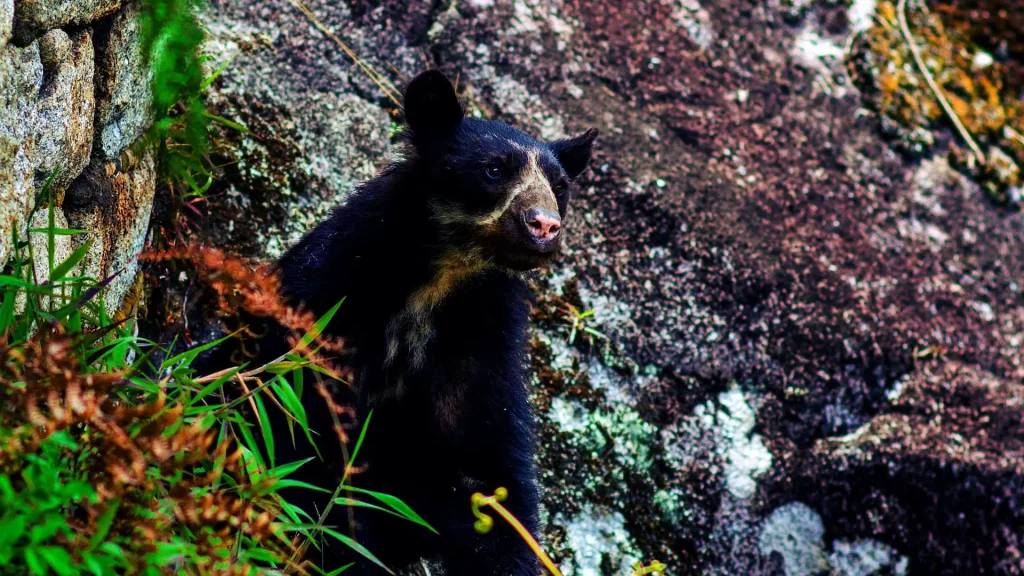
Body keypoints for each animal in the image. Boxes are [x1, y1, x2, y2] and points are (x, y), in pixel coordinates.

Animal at [212, 70, 597, 575]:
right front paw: (343, 547)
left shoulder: (480, 336)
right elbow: (307, 434)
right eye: (494, 169)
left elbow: (489, 468)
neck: (439, 278)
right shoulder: (330, 294)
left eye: (560, 186)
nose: (544, 226)